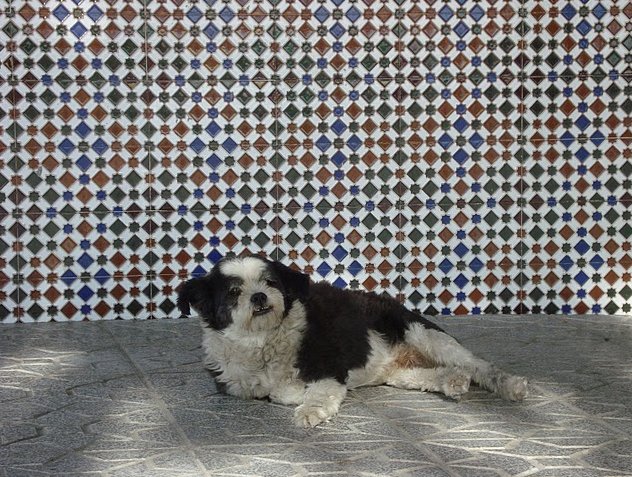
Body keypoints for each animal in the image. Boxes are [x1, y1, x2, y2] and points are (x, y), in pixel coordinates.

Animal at [175, 256, 524, 428]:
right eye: (234, 292)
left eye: (270, 282)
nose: (259, 296)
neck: (261, 341)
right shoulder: (238, 385)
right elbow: (277, 392)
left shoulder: (329, 366)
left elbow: (308, 392)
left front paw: (310, 410)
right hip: (400, 373)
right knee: (432, 375)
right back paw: (451, 380)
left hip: (424, 334)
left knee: (480, 366)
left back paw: (510, 385)